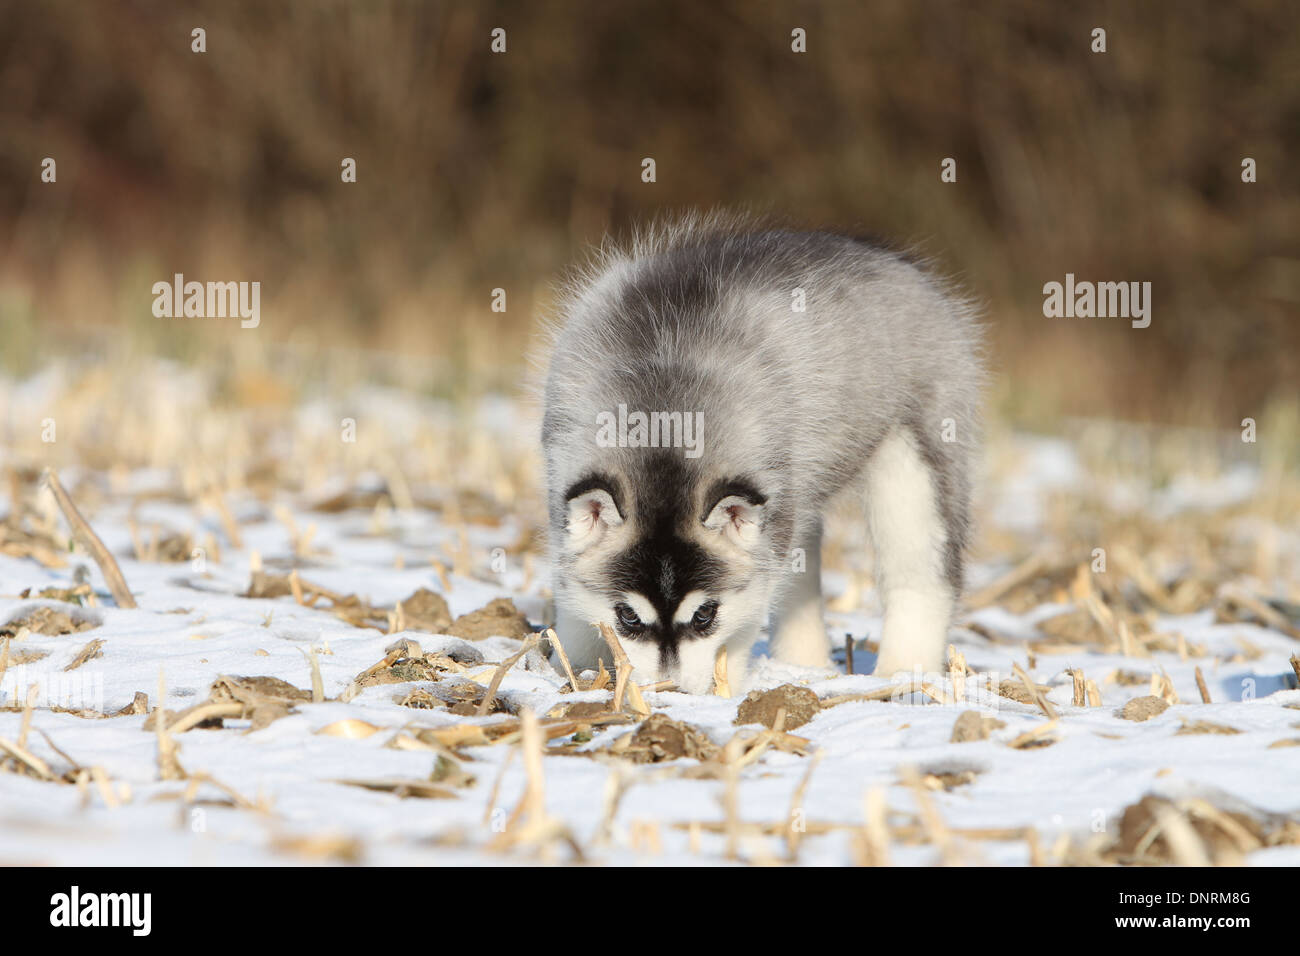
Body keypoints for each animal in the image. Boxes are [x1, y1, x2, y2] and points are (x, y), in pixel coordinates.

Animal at [540, 214, 982, 697]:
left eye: (705, 615)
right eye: (627, 617)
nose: (672, 690)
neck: (664, 413)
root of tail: (892, 257)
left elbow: (746, 615)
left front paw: (724, 686)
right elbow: (571, 591)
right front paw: (576, 667)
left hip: (911, 464)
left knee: (921, 570)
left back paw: (901, 673)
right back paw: (803, 663)